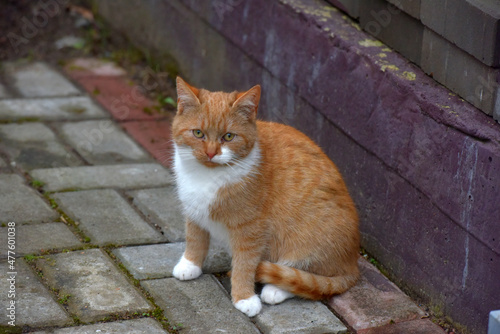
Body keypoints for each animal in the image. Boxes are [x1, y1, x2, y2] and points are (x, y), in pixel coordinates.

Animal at [172, 77, 360, 318]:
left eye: (228, 136)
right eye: (198, 133)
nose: (211, 153)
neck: (208, 176)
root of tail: (353, 265)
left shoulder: (251, 230)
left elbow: (244, 264)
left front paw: (244, 297)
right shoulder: (194, 211)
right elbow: (195, 239)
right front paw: (190, 265)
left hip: (304, 240)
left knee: (306, 278)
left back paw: (274, 290)